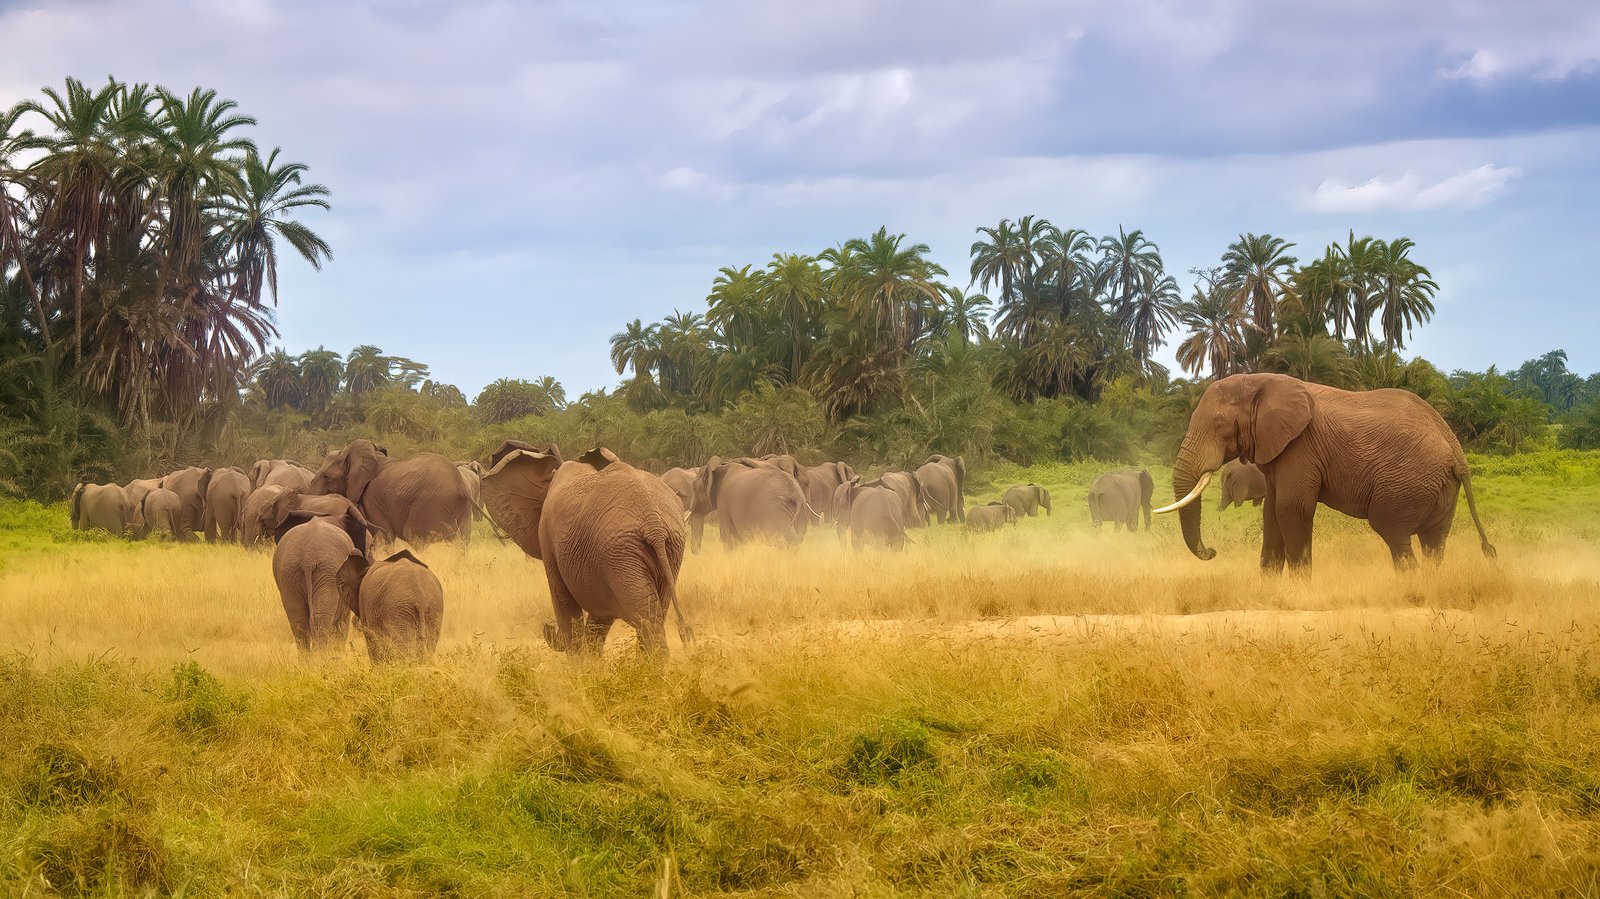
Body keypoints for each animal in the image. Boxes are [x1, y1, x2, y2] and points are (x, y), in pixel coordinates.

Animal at [270, 509, 372, 653]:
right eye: (370, 546)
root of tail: (307, 559)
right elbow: (342, 622)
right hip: (326, 573)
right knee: (321, 620)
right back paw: (322, 658)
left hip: (289, 574)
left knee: (299, 622)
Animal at [306, 440, 472, 543]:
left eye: (327, 477)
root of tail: (461, 487)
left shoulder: (371, 498)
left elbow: (384, 535)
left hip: (430, 504)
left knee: (414, 536)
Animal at [479, 443, 691, 656]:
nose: (547, 628)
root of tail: (653, 523)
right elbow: (599, 616)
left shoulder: (549, 540)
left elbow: (563, 600)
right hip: (664, 549)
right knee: (655, 613)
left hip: (621, 555)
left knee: (646, 619)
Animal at [1160, 372, 1495, 571]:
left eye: (1219, 425)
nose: (1212, 551)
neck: (1259, 380)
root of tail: (1456, 450)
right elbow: (1272, 513)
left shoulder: (1301, 448)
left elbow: (1291, 509)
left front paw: (1299, 591)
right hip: (1440, 487)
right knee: (1433, 543)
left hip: (1408, 482)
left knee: (1394, 533)